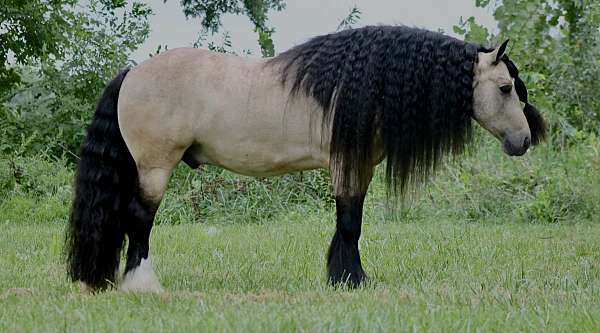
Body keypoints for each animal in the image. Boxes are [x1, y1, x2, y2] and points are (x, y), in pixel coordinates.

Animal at [63, 26, 548, 290]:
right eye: (505, 88)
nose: (524, 140)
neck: (361, 89)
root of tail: (133, 73)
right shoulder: (345, 165)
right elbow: (349, 223)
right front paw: (352, 280)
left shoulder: (359, 168)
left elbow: (350, 222)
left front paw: (343, 276)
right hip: (155, 168)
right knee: (139, 221)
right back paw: (141, 284)